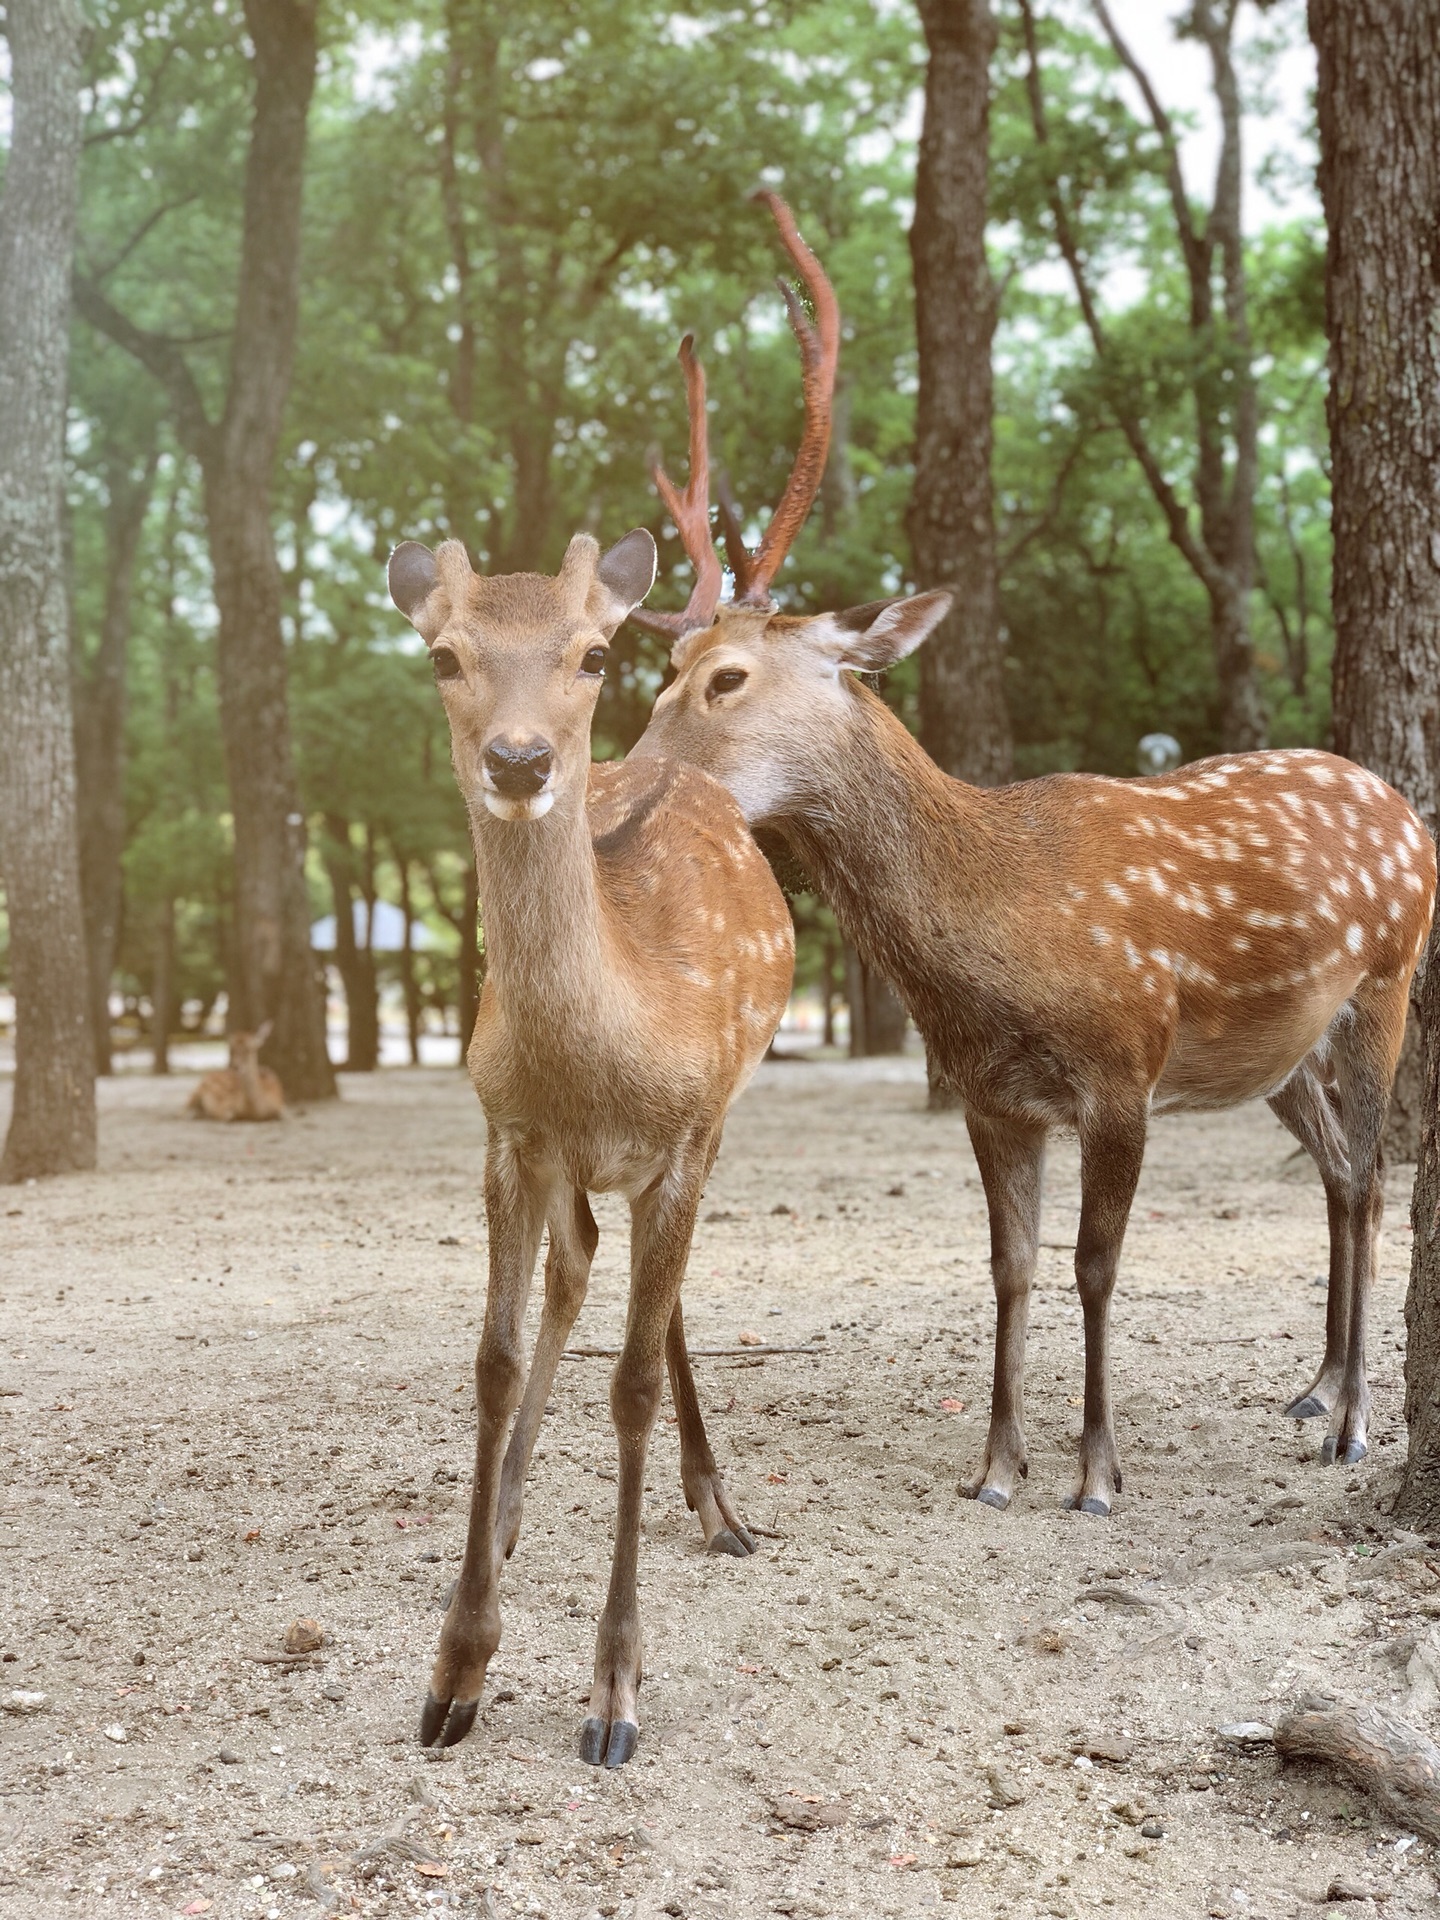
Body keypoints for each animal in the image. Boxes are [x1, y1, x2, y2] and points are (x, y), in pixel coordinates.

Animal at [385, 518, 791, 1758]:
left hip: (717, 1121)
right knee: (583, 1270)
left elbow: (634, 1387)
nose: (520, 762)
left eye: (595, 654)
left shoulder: (686, 1135)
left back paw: (718, 1504)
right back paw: (512, 1513)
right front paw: (458, 1666)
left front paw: (614, 1691)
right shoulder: (508, 1137)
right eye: (444, 655)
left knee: (651, 1306)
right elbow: (495, 1360)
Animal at [633, 191, 1440, 1512]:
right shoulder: (992, 1094)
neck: (990, 949)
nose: (618, 784)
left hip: (1386, 979)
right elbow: (1007, 1265)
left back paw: (1358, 1422)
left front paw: (1096, 1472)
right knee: (1334, 1170)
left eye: (728, 677)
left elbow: (1095, 1264)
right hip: (1275, 1047)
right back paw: (1314, 1388)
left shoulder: (1123, 1062)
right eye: (662, 672)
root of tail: (1402, 807)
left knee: (1375, 1177)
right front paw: (998, 1466)